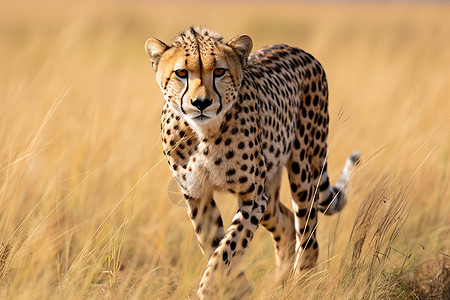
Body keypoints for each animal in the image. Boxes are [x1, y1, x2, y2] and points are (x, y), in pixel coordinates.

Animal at [146, 26, 360, 298]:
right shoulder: (198, 195)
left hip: (302, 169)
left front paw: (210, 287)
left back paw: (300, 283)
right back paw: (280, 281)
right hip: (269, 187)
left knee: (308, 238)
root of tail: (299, 50)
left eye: (219, 71)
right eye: (181, 73)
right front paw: (236, 286)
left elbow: (229, 246)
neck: (205, 132)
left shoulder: (252, 197)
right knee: (285, 222)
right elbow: (215, 244)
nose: (201, 103)